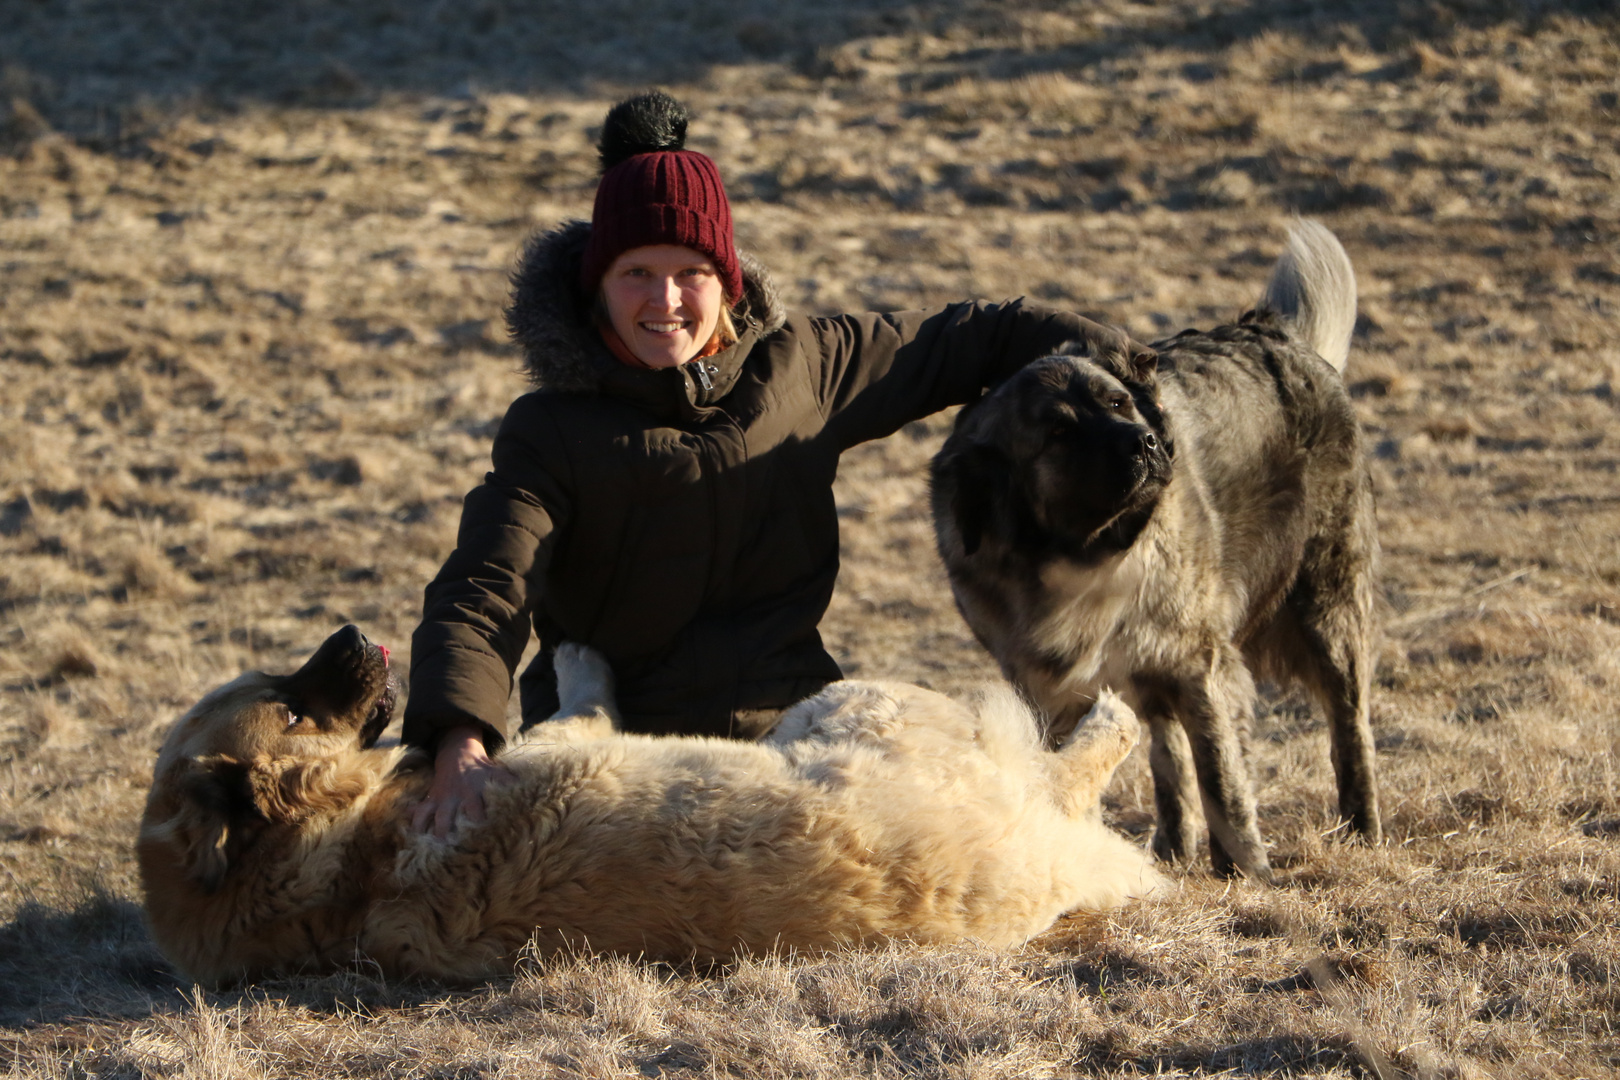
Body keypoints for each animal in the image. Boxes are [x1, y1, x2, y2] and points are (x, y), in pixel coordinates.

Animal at [939, 221, 1380, 880]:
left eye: (1119, 403)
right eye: (1059, 432)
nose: (1146, 442)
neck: (1084, 558)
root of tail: (1272, 332)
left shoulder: (1201, 664)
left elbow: (1222, 778)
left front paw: (1248, 873)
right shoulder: (1051, 691)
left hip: (1325, 609)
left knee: (1349, 724)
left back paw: (1361, 828)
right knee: (1168, 751)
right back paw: (1174, 843)